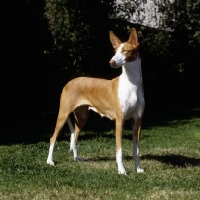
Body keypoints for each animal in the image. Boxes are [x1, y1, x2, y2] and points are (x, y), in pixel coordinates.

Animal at [46, 27, 144, 173]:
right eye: (115, 51)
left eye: (125, 50)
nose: (111, 62)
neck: (132, 84)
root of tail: (69, 82)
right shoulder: (119, 121)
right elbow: (119, 151)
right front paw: (121, 170)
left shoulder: (137, 121)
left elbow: (136, 151)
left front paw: (138, 169)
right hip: (63, 115)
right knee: (53, 138)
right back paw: (49, 161)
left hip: (82, 117)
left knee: (74, 136)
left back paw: (76, 157)